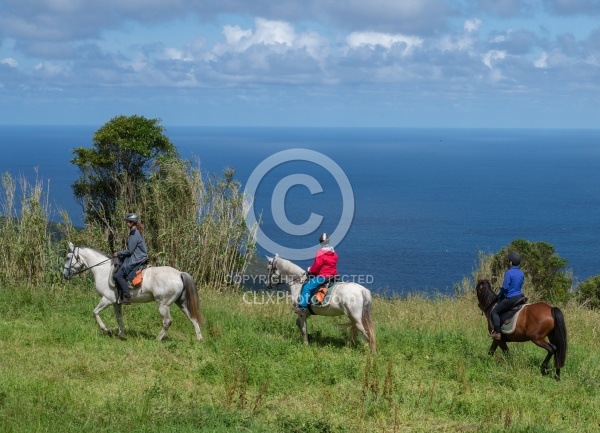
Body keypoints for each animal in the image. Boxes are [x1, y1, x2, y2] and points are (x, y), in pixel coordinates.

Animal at [63, 243, 204, 340]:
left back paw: (157, 339)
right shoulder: (116, 302)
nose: (64, 275)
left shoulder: (107, 299)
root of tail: (179, 273)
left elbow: (95, 312)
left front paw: (106, 330)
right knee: (193, 319)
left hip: (163, 305)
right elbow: (119, 318)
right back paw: (199, 340)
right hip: (182, 303)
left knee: (167, 321)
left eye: (68, 257)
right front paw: (121, 334)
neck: (102, 270)